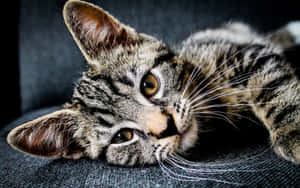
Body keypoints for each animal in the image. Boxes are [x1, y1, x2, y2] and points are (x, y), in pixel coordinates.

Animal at [6, 0, 300, 167]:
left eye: (149, 84)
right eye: (123, 137)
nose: (166, 126)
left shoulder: (245, 52)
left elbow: (271, 85)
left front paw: (293, 131)